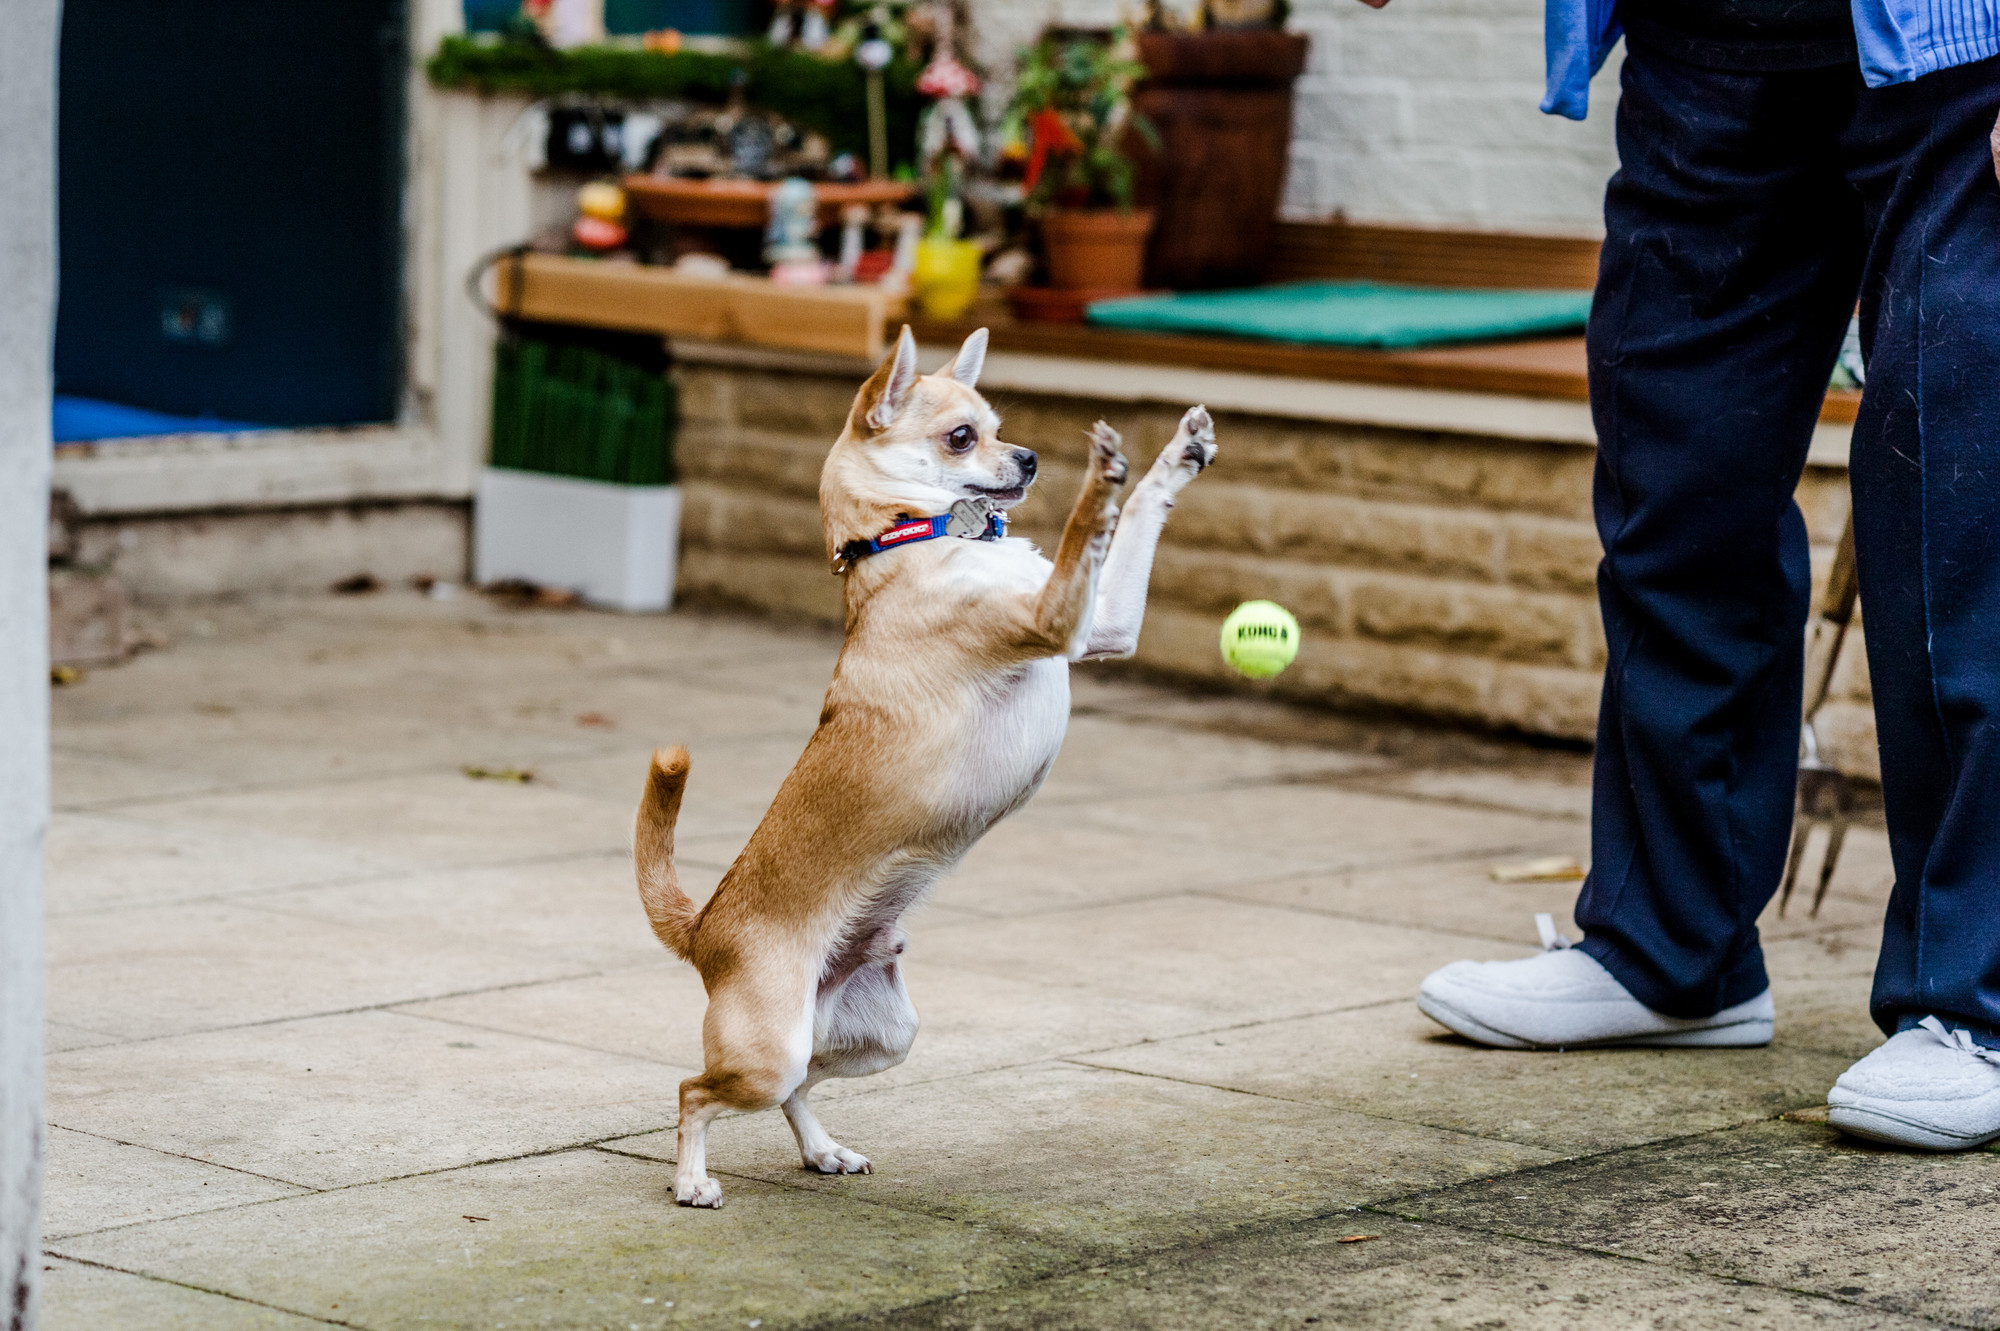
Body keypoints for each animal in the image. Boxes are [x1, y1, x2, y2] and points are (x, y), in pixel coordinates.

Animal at [636, 323, 1216, 1199]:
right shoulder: (1056, 618)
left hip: (879, 1036)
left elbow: (1140, 515)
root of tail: (704, 927)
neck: (916, 537)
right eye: (962, 437)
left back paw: (823, 1149)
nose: (1032, 458)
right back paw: (693, 1180)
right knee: (692, 1090)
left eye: (999, 426)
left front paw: (1173, 457)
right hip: (769, 1049)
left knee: (797, 1088)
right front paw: (1099, 479)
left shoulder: (1100, 627)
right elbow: (1088, 532)